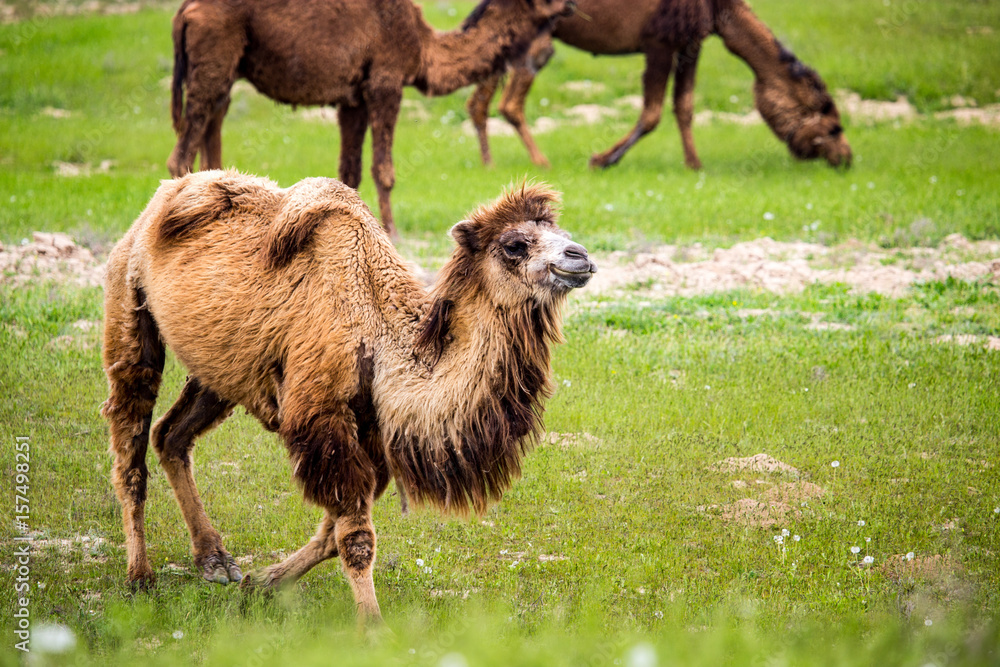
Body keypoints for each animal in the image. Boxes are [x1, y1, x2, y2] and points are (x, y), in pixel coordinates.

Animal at [101, 171, 595, 625]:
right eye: (515, 244)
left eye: (562, 233)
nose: (581, 257)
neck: (381, 339)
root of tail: (161, 197)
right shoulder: (324, 419)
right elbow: (354, 538)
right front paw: (372, 627)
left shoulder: (372, 432)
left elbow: (332, 533)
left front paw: (261, 582)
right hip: (129, 304)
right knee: (131, 445)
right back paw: (140, 577)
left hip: (220, 369)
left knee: (171, 436)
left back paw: (214, 560)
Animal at [166, 0, 574, 238]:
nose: (570, 4)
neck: (425, 47)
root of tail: (184, 12)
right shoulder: (385, 83)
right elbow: (383, 169)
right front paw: (390, 229)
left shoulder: (353, 99)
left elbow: (349, 172)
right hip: (214, 55)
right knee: (182, 150)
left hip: (227, 67)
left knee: (212, 126)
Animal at [466, 0, 852, 170]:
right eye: (833, 126)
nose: (846, 157)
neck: (722, 12)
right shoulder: (659, 41)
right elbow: (652, 113)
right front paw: (602, 159)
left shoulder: (690, 42)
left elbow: (684, 106)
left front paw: (694, 164)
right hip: (534, 37)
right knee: (508, 102)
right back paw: (539, 161)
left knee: (479, 99)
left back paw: (488, 161)